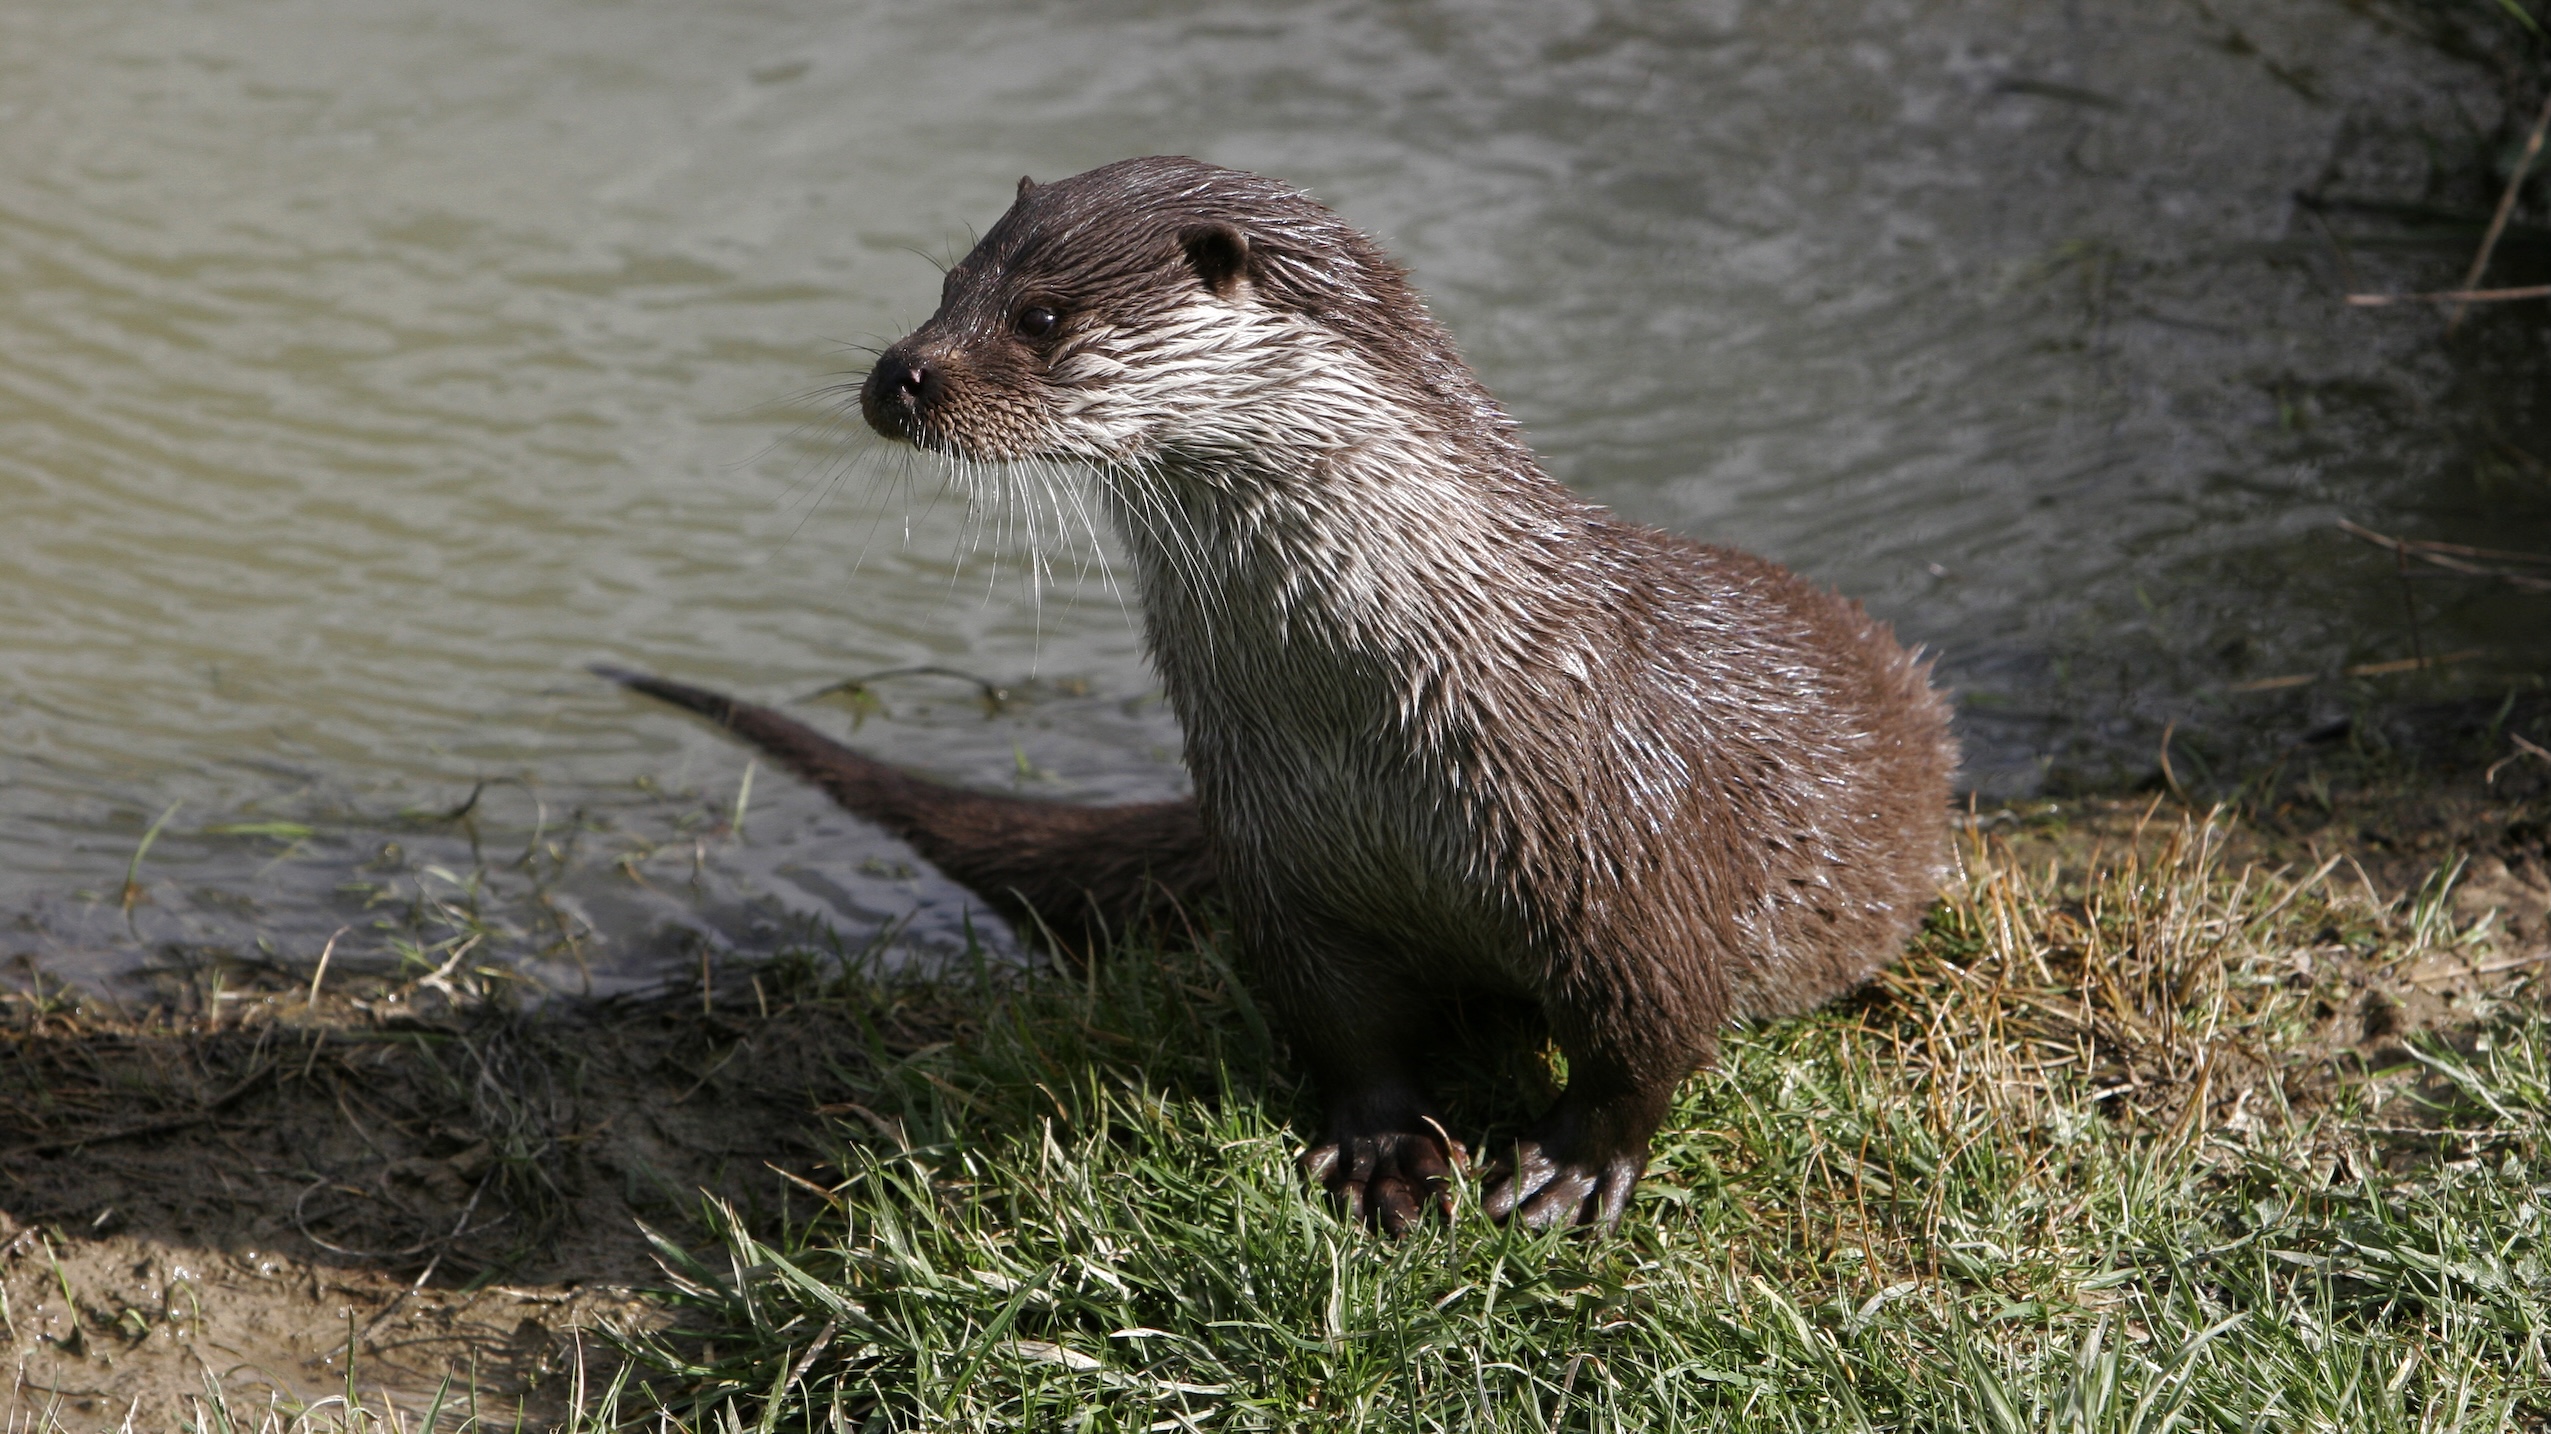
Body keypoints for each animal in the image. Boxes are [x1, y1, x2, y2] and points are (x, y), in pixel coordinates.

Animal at [612, 156, 1948, 1229]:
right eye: (947, 285)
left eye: (1039, 314)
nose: (901, 374)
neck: (1371, 721)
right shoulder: (1276, 860)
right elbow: (1343, 1026)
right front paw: (1380, 1150)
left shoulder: (1623, 859)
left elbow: (1645, 1034)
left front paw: (1570, 1171)